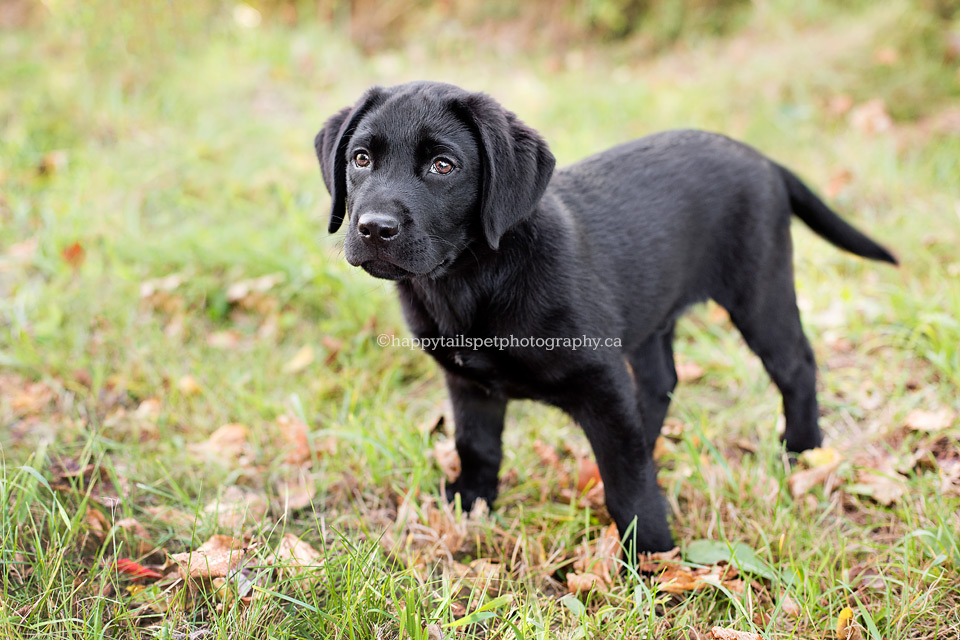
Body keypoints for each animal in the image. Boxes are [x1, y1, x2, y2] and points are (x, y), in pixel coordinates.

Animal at [314, 81, 892, 556]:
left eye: (443, 166)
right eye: (361, 158)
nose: (373, 228)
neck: (473, 279)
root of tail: (763, 158)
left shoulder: (600, 380)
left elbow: (627, 481)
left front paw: (654, 557)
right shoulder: (468, 384)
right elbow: (475, 445)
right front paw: (470, 503)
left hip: (760, 290)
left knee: (796, 367)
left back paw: (804, 454)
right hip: (654, 315)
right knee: (660, 384)